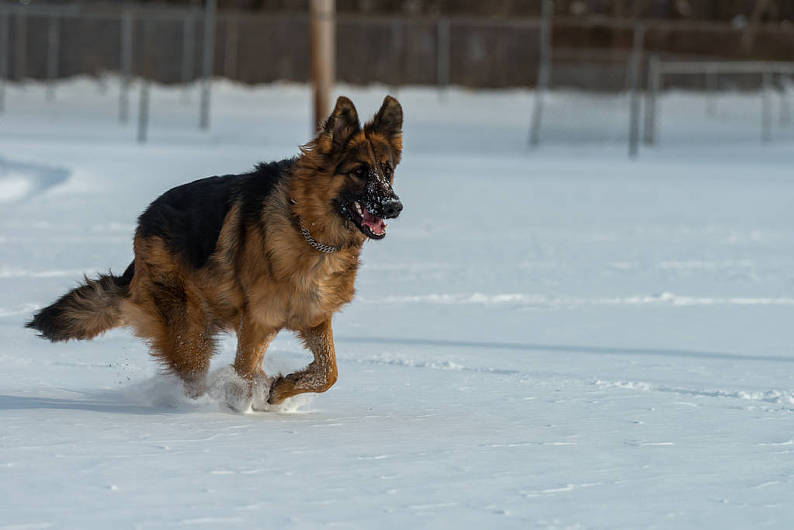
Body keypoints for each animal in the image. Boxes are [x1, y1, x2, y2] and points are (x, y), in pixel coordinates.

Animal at [25, 95, 402, 406]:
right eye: (359, 171)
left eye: (387, 171)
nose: (395, 206)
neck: (307, 228)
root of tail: (143, 223)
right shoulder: (257, 322)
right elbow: (245, 376)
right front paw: (244, 405)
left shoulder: (312, 317)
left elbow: (328, 372)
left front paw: (281, 389)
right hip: (189, 330)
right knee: (196, 372)